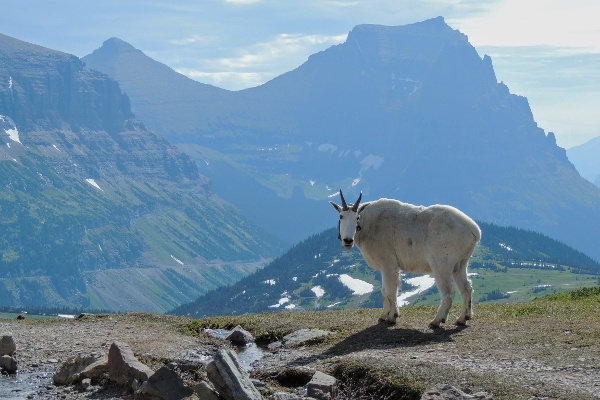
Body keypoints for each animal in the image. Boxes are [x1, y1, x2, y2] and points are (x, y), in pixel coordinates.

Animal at [330, 191, 480, 328]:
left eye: (357, 218)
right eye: (341, 216)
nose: (347, 240)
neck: (369, 225)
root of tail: (474, 230)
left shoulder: (388, 264)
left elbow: (390, 291)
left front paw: (392, 317)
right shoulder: (386, 268)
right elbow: (384, 291)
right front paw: (383, 316)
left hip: (442, 265)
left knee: (448, 292)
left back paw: (436, 321)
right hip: (460, 264)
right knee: (466, 288)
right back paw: (463, 318)